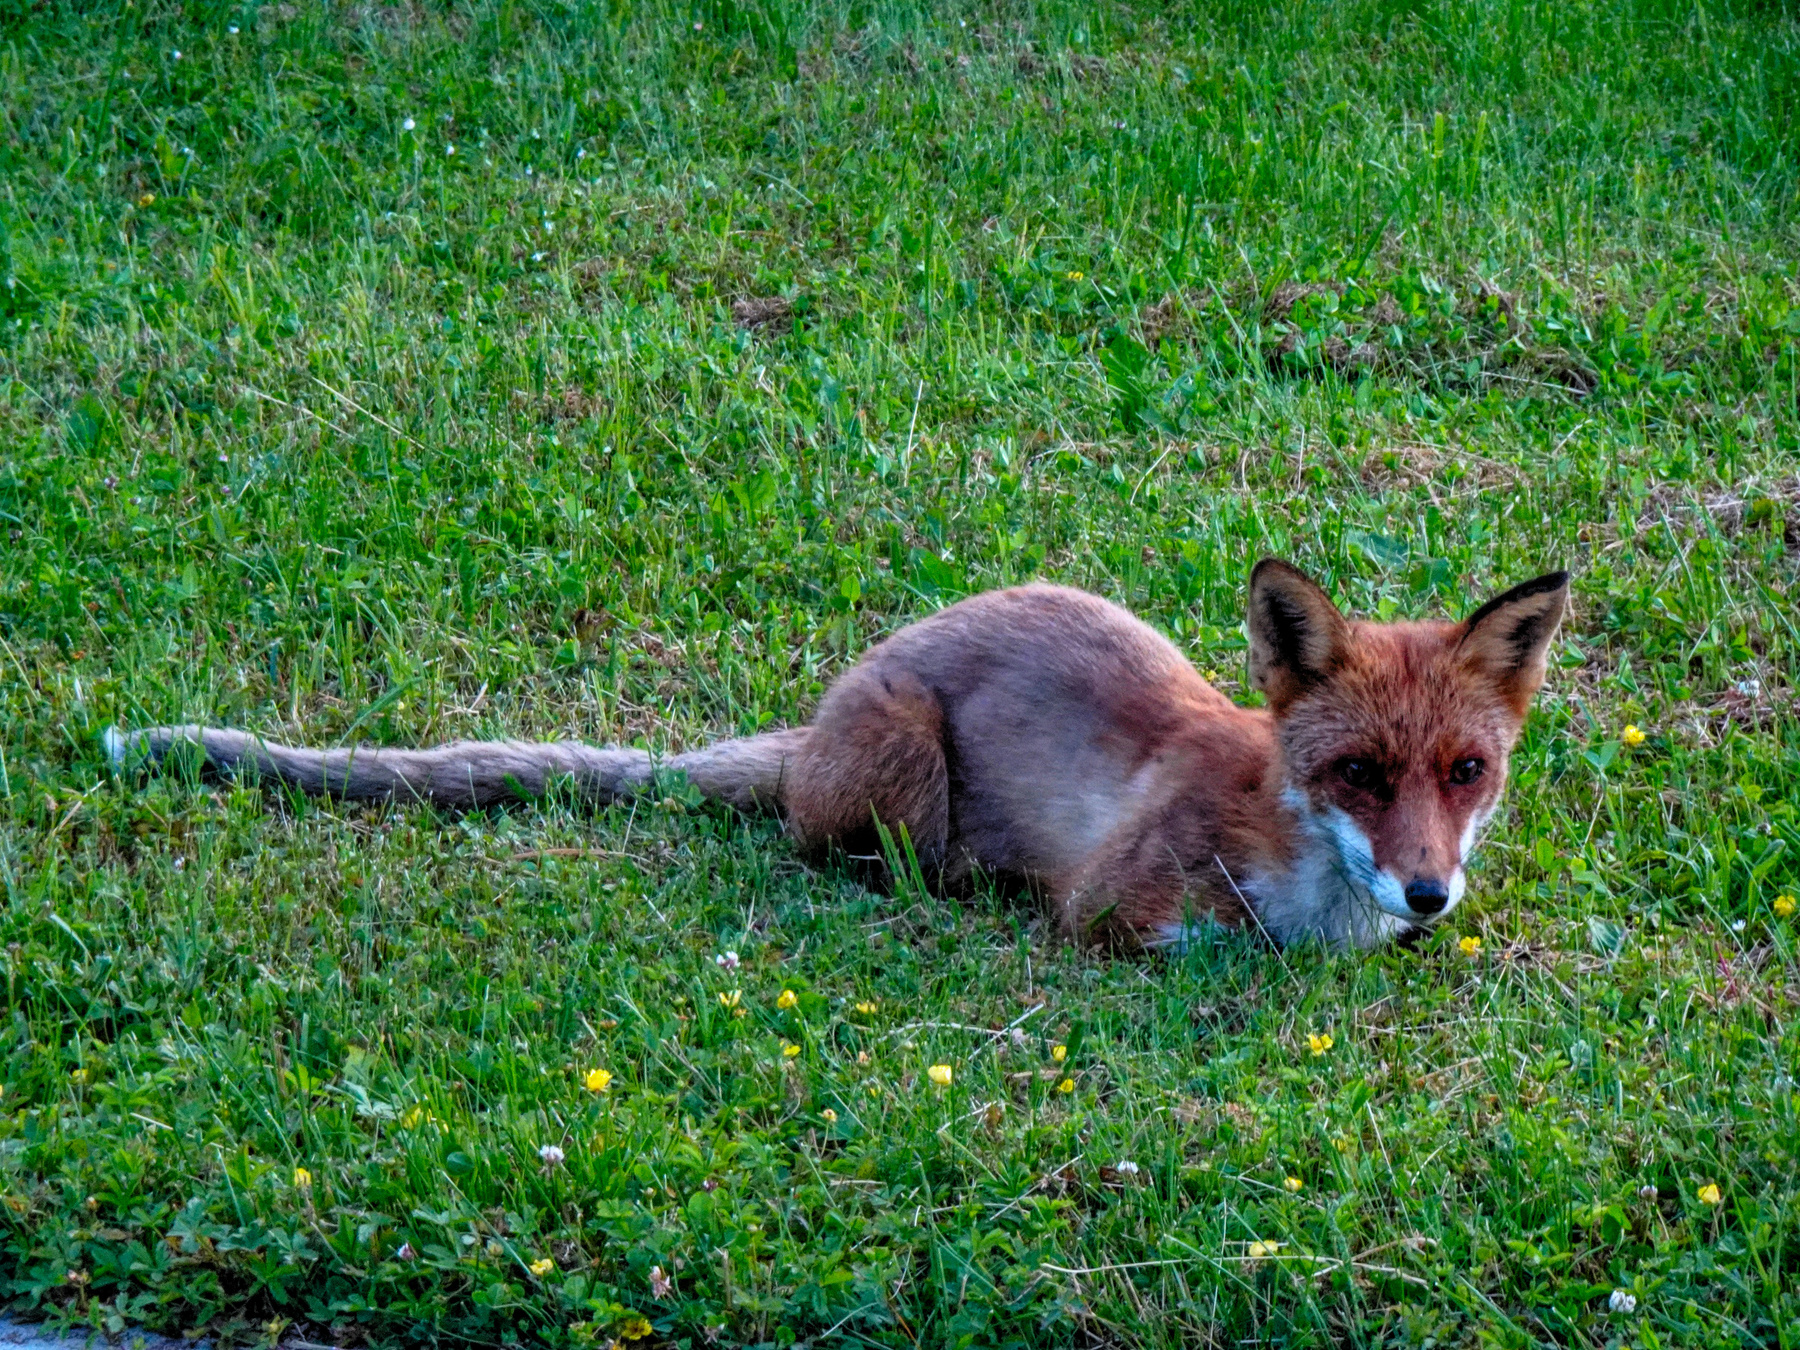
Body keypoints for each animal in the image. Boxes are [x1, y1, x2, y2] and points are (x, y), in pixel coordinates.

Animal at [107, 559, 1568, 950]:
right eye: (1358, 774)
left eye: (1466, 772)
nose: (1430, 893)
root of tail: (808, 725)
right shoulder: (1120, 911)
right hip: (902, 785)